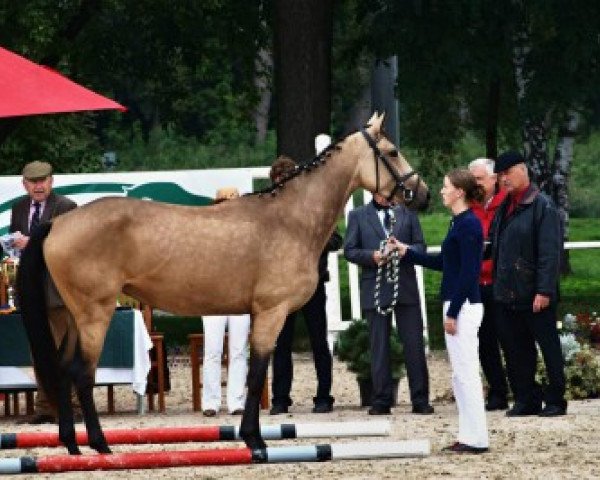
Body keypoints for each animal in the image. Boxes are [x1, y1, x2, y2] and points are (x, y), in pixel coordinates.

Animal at [17, 113, 426, 458]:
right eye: (393, 152)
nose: (420, 194)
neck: (289, 219)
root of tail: (59, 222)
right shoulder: (272, 313)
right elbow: (258, 372)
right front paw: (255, 441)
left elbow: (254, 373)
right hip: (94, 315)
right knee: (81, 374)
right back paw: (100, 445)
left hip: (73, 317)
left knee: (62, 370)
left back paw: (72, 444)